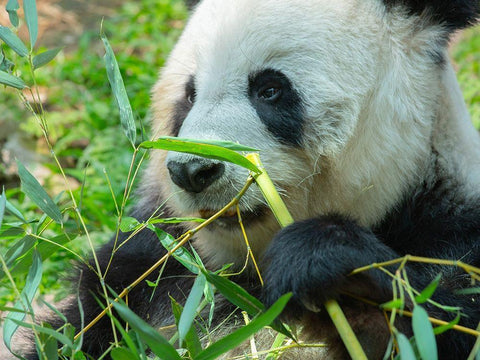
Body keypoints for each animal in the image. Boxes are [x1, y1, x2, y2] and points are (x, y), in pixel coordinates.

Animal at [25, 0, 480, 360]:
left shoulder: (447, 233)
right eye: (189, 94)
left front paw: (329, 266)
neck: (245, 274)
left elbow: (442, 318)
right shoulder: (148, 269)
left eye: (270, 90)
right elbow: (76, 330)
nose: (193, 171)